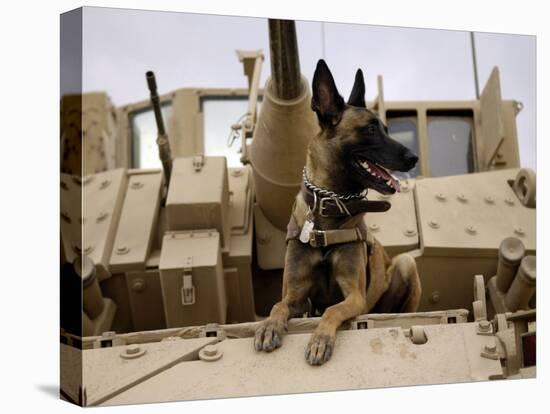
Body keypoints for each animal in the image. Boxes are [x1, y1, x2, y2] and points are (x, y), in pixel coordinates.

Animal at [254, 59, 422, 366]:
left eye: (386, 128)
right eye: (371, 130)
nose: (413, 157)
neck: (328, 210)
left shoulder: (354, 296)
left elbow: (333, 310)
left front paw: (320, 340)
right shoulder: (296, 296)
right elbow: (277, 305)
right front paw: (269, 327)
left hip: (405, 264)